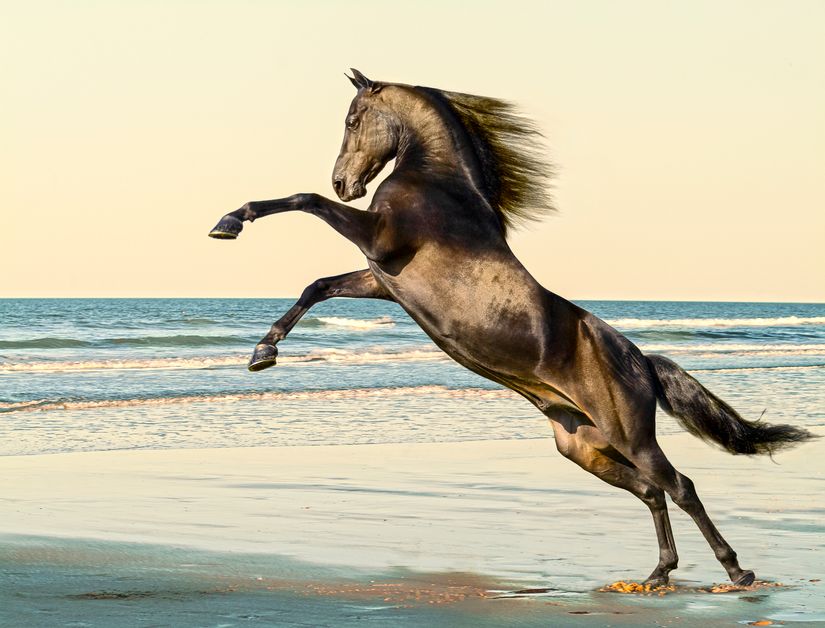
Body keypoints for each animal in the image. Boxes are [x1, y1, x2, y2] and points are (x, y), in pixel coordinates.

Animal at [208, 69, 814, 586]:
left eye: (353, 120)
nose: (343, 182)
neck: (440, 183)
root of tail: (641, 360)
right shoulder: (383, 278)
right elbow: (317, 285)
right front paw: (262, 352)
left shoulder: (380, 242)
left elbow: (302, 200)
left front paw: (229, 222)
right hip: (583, 446)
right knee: (649, 491)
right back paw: (658, 574)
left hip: (629, 436)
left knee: (680, 487)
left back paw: (737, 572)